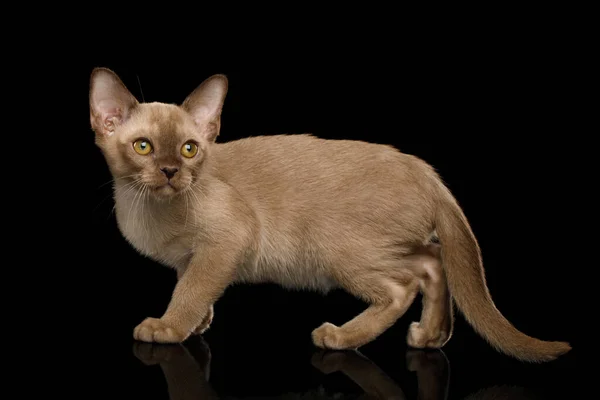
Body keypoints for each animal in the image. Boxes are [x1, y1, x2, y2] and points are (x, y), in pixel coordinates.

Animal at [90, 68, 572, 362]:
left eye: (190, 149)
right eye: (144, 147)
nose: (171, 171)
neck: (147, 209)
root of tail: (426, 171)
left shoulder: (227, 239)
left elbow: (190, 290)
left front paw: (169, 327)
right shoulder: (192, 257)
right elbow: (193, 285)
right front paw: (198, 325)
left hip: (337, 248)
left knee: (403, 287)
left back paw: (339, 337)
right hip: (383, 246)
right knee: (434, 263)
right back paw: (429, 338)